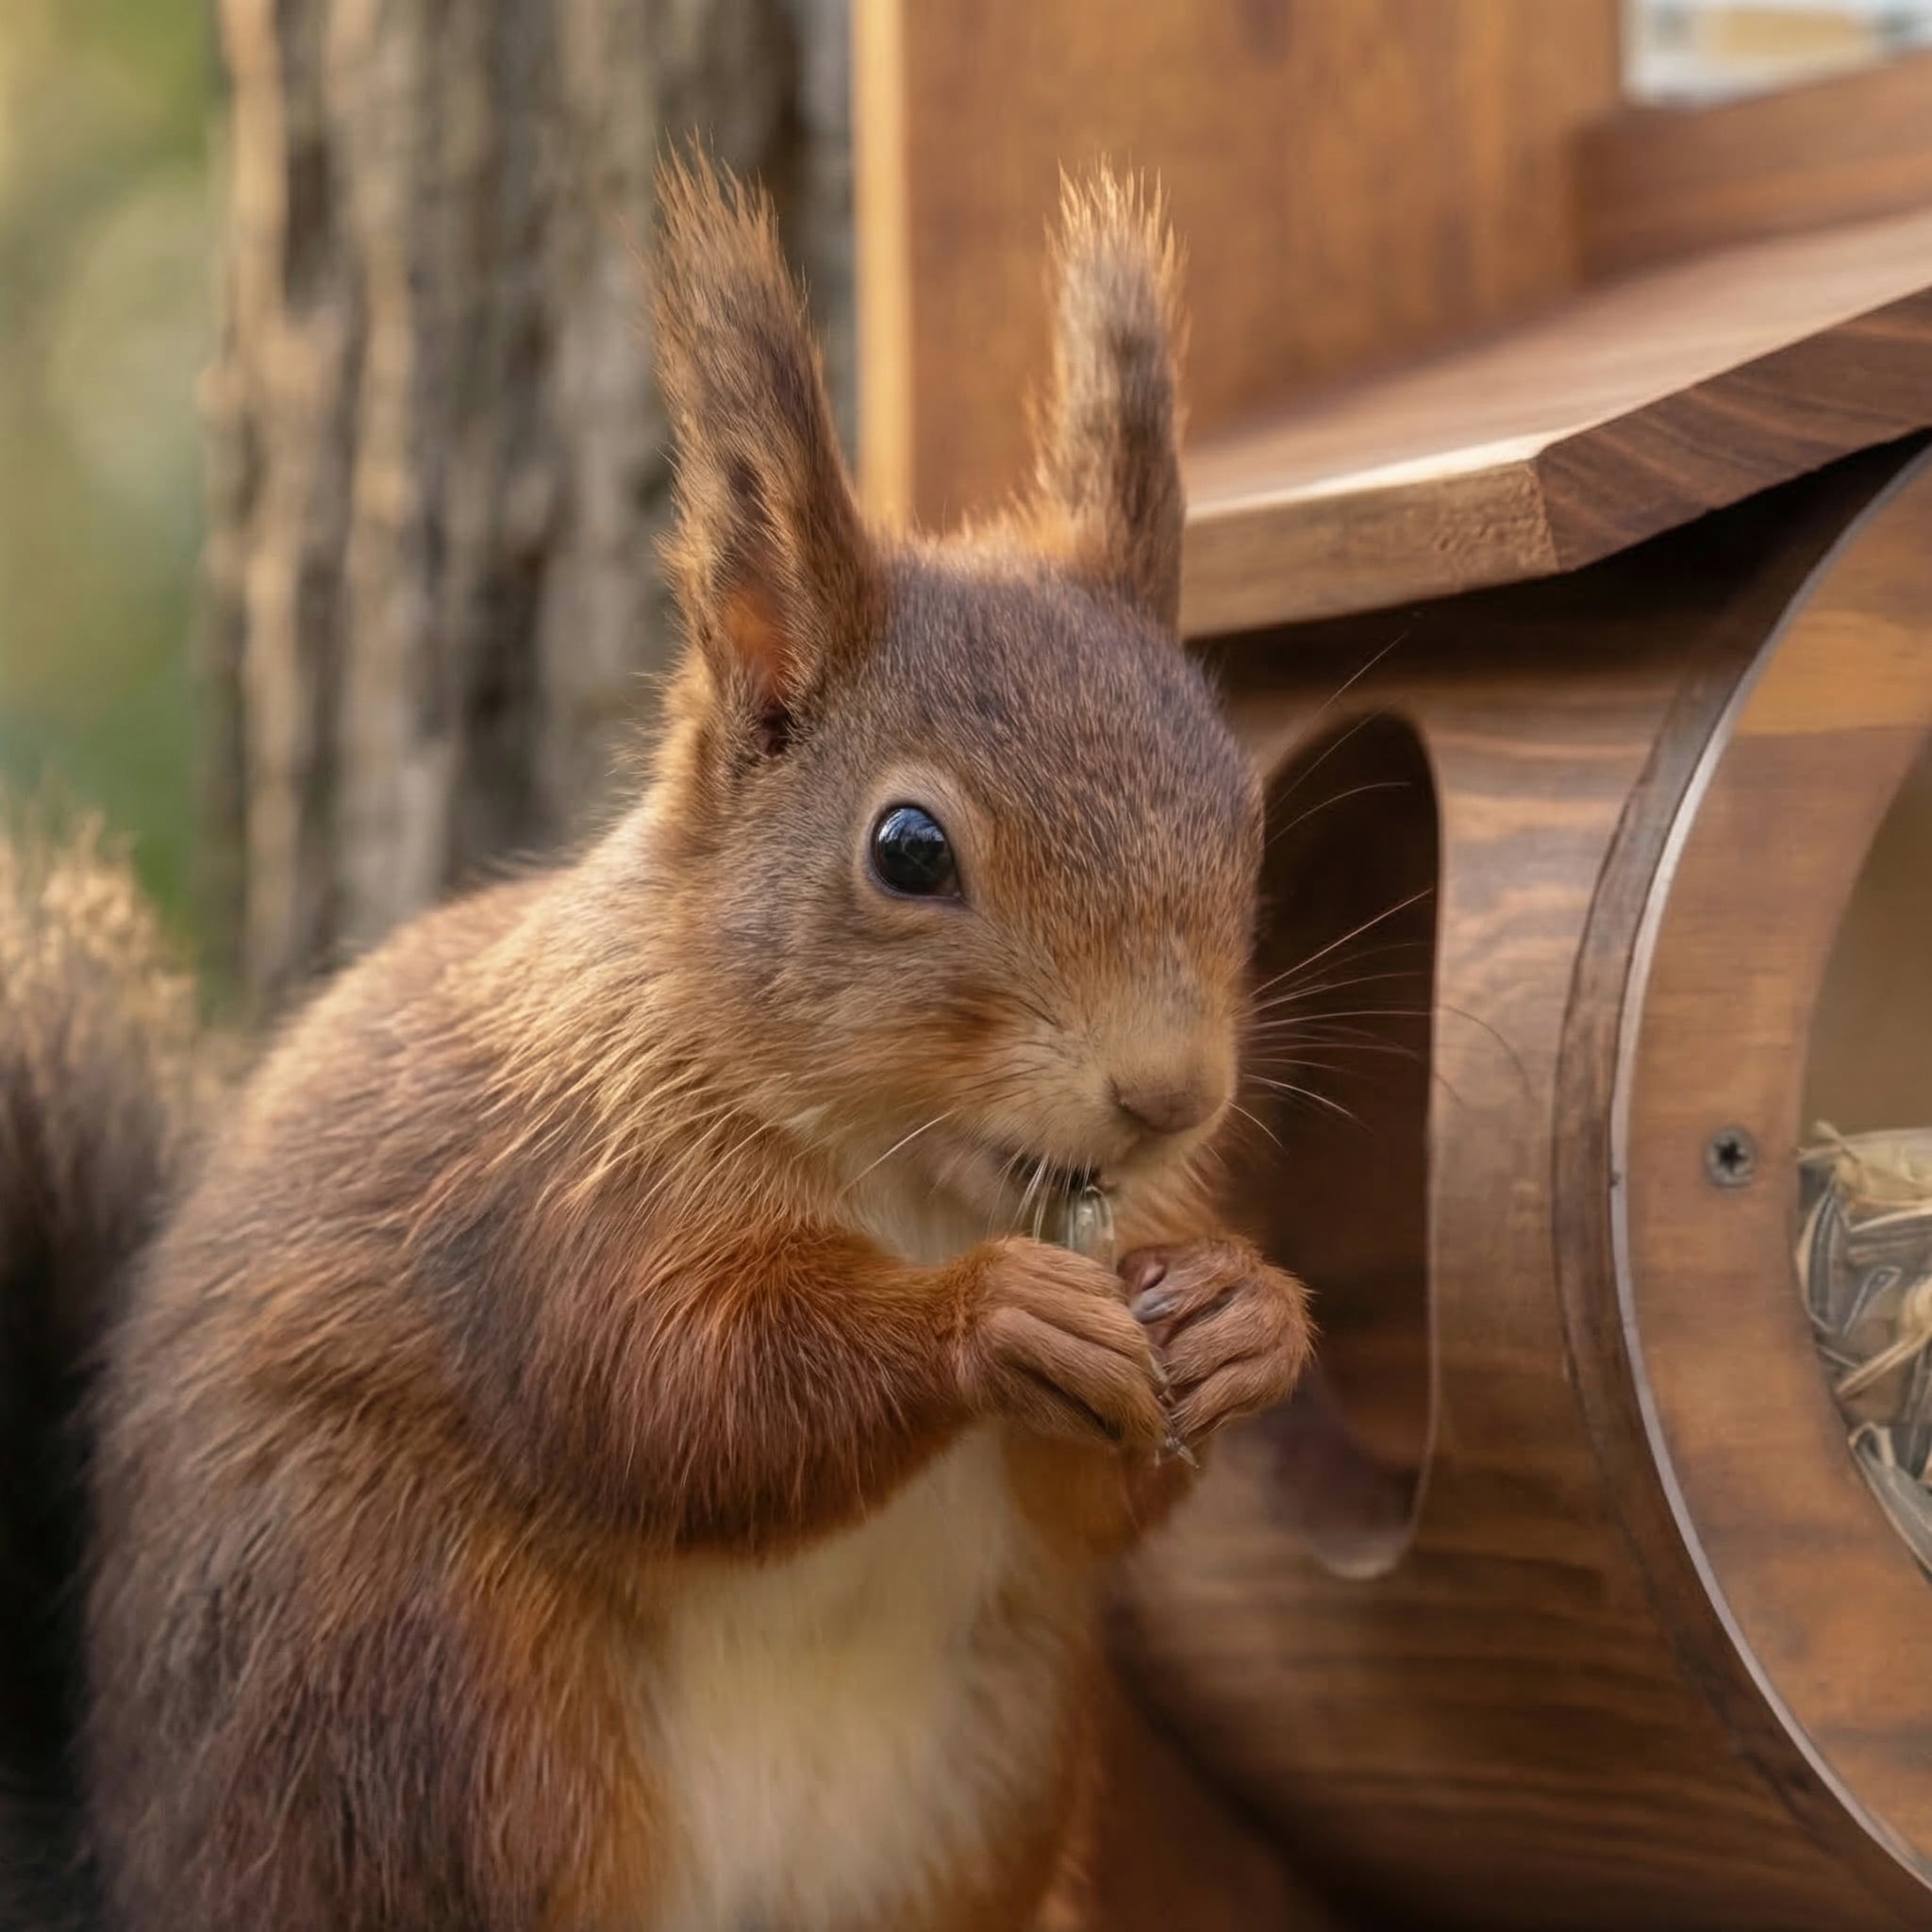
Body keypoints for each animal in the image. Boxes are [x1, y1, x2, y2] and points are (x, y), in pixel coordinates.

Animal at [1, 157, 1311, 1931]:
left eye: (1245, 811)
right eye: (909, 850)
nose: (1170, 1091)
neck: (911, 1180)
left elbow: (1088, 1507)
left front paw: (1250, 1316)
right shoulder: (562, 1196)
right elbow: (681, 1392)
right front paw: (993, 1315)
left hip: (986, 1767)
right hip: (448, 1696)